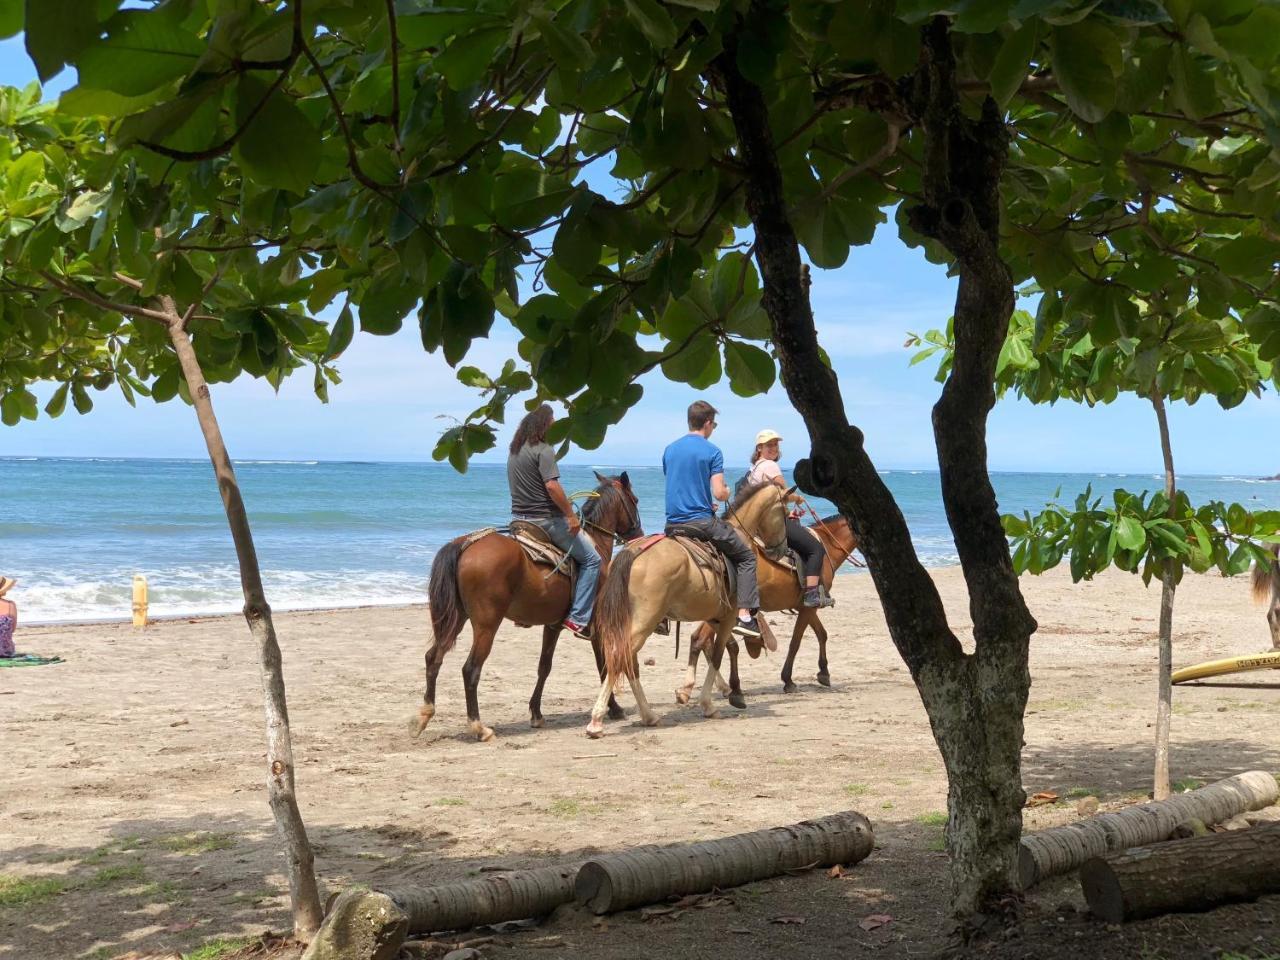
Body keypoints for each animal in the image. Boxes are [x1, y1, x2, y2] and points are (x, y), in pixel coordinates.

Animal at [414, 473, 645, 742]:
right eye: (635, 500)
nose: (638, 535)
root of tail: (465, 544)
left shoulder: (552, 626)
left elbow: (544, 667)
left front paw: (536, 712)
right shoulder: (597, 624)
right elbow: (604, 666)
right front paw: (615, 709)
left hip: (456, 619)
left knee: (433, 658)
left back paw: (424, 715)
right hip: (486, 625)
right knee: (470, 669)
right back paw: (479, 727)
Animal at [583, 483, 783, 742]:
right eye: (785, 511)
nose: (781, 549)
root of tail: (633, 551)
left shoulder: (715, 617)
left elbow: (715, 646)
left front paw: (724, 691)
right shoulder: (728, 617)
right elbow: (718, 654)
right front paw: (709, 703)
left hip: (632, 621)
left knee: (628, 661)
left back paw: (648, 716)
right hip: (644, 622)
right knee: (620, 656)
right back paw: (597, 721)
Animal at [680, 514, 860, 711]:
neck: (827, 546)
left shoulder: (805, 607)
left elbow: (822, 634)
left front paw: (824, 672)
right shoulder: (808, 607)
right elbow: (796, 642)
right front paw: (788, 680)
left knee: (702, 640)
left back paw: (708, 689)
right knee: (704, 639)